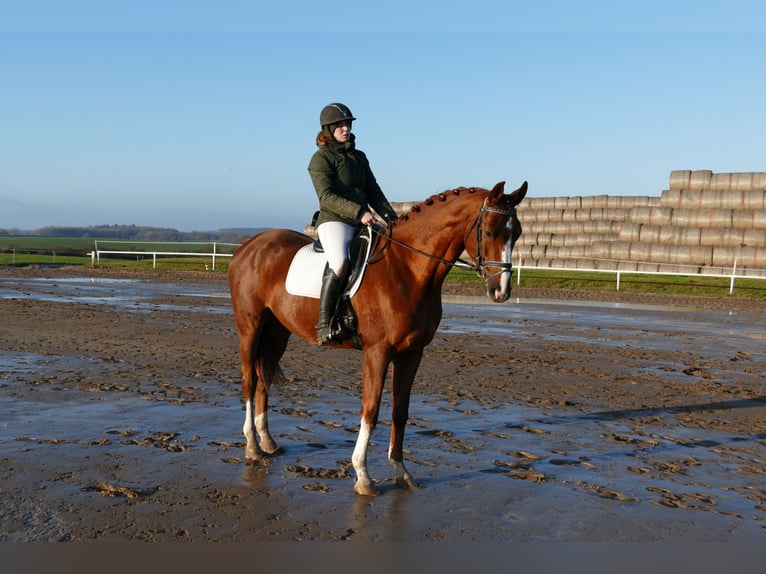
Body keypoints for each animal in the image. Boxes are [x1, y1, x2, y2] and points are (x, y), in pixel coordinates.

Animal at [228, 180, 527, 495]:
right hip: (250, 326)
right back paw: (252, 448)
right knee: (249, 379)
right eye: (489, 231)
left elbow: (400, 411)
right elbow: (370, 410)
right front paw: (363, 476)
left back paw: (267, 443)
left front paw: (401, 472)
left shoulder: (412, 352)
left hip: (277, 332)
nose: (501, 291)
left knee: (264, 379)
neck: (408, 269)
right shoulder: (378, 351)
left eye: (517, 232)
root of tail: (249, 246)